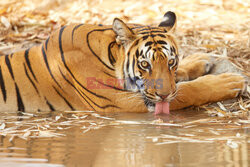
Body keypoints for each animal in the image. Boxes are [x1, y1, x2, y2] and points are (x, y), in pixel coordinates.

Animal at [0, 11, 247, 113]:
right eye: (144, 64)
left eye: (171, 62)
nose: (164, 96)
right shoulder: (120, 102)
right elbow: (188, 90)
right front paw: (230, 82)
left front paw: (200, 59)